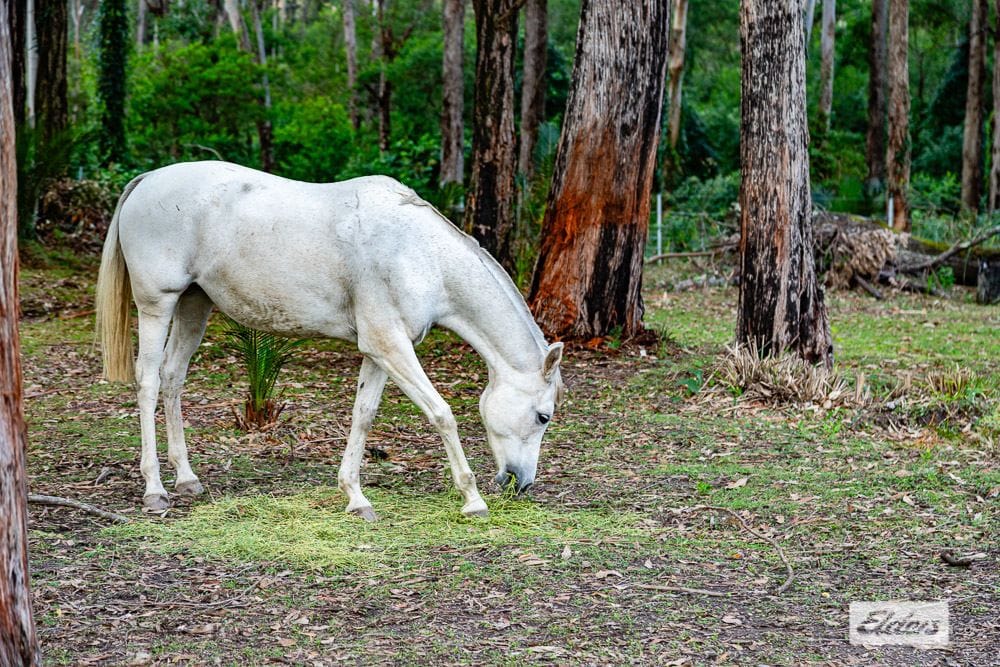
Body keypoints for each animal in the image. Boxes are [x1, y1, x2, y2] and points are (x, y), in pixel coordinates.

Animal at [94, 162, 568, 520]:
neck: (420, 253)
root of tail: (147, 180)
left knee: (173, 378)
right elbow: (442, 414)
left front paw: (355, 497)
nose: (521, 483)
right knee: (149, 382)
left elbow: (363, 415)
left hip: (194, 305)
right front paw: (472, 500)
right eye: (543, 416)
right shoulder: (391, 347)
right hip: (157, 305)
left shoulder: (380, 351)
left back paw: (187, 478)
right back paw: (155, 489)